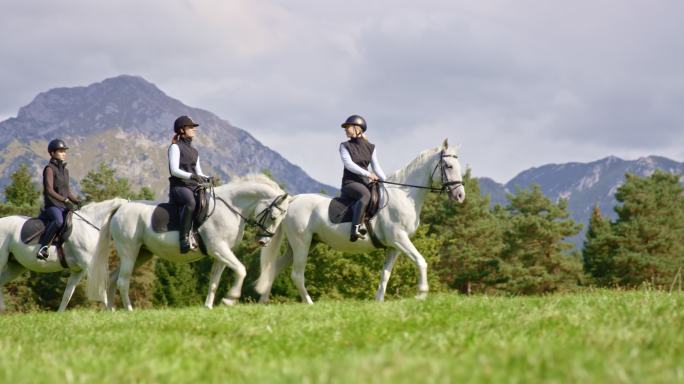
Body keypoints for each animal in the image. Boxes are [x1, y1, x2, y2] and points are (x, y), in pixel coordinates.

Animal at [108, 176, 290, 310]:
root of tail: (122, 208)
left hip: (142, 254)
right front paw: (230, 299)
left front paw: (208, 307)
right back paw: (129, 311)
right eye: (273, 216)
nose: (263, 241)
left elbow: (214, 282)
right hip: (129, 252)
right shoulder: (219, 249)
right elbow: (241, 270)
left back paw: (111, 310)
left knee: (112, 278)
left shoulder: (222, 254)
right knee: (122, 281)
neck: (230, 207)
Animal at [255, 138, 464, 304]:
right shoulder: (400, 239)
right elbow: (421, 261)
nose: (460, 195)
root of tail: (293, 200)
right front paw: (421, 294)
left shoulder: (394, 247)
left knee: (275, 268)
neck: (403, 196)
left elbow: (385, 275)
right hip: (302, 243)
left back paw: (264, 302)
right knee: (297, 275)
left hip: (304, 244)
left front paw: (378, 302)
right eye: (449, 166)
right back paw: (309, 303)